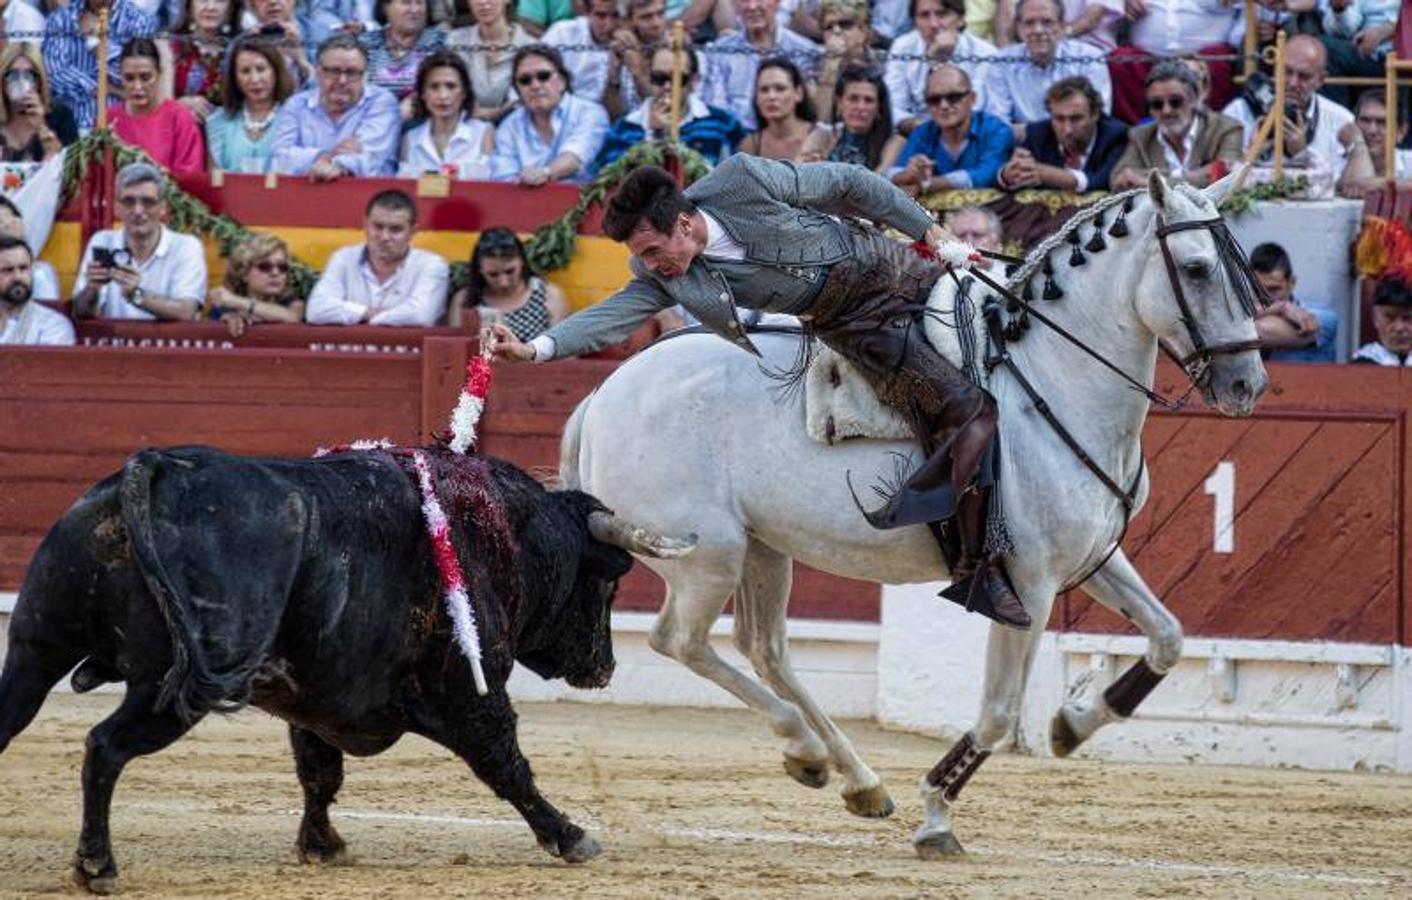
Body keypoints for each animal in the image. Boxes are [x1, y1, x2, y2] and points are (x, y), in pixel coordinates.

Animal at [0, 446, 689, 887]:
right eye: (607, 585)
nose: (603, 667)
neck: (507, 534)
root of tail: (154, 469)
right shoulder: (469, 691)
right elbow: (507, 766)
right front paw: (571, 836)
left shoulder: (312, 700)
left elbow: (318, 774)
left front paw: (321, 846)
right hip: (171, 689)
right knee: (105, 747)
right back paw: (98, 866)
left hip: (35, 646)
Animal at [559, 171, 1270, 853]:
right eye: (1198, 268)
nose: (1247, 384)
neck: (1052, 377)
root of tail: (602, 395)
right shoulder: (1027, 583)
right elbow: (998, 713)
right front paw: (936, 816)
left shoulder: (1090, 557)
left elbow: (1168, 634)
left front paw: (1073, 724)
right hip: (708, 556)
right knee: (678, 639)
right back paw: (806, 748)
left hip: (762, 546)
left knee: (764, 647)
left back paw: (856, 779)